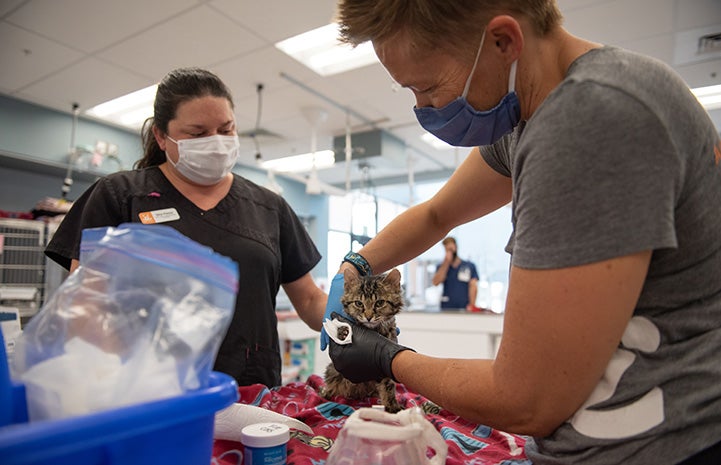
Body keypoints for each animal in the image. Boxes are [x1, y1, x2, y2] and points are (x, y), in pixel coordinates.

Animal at [322, 266, 404, 412]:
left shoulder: (386, 363)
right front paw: (343, 332)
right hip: (332, 370)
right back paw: (327, 392)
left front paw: (392, 406)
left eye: (380, 303)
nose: (369, 317)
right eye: (359, 303)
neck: (373, 330)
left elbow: (388, 385)